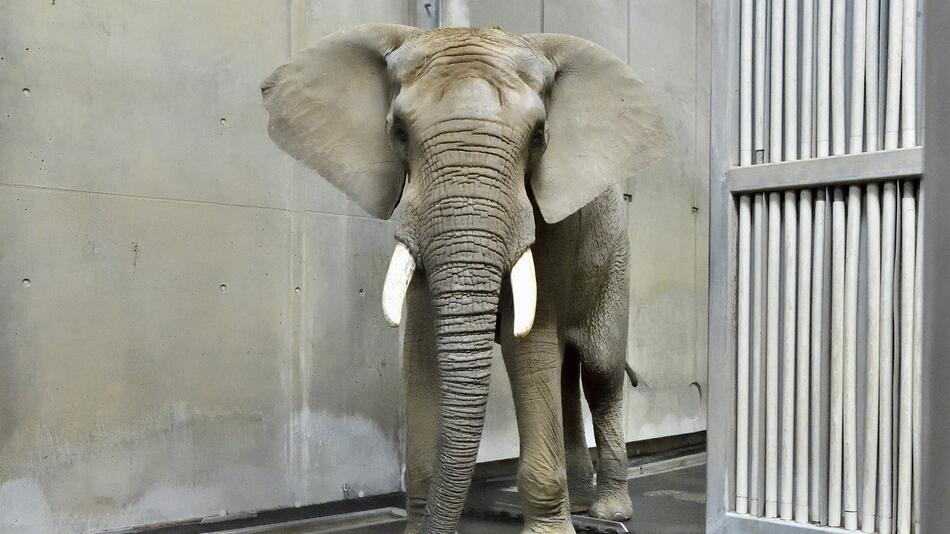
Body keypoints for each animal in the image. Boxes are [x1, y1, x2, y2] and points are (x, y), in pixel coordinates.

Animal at [260, 24, 668, 534]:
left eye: (539, 138)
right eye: (398, 132)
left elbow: (529, 344)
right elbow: (423, 347)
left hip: (616, 256)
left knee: (600, 371)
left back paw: (609, 512)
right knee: (565, 373)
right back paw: (580, 505)